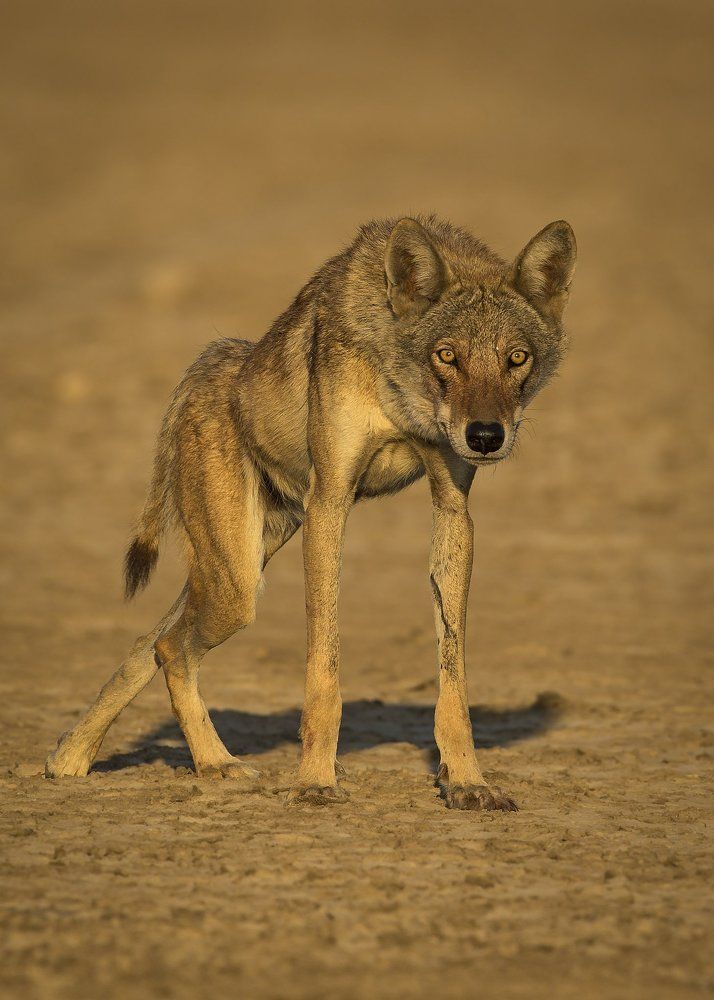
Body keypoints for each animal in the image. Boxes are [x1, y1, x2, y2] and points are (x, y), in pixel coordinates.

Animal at [45, 215, 576, 810]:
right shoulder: (330, 502)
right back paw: (214, 764)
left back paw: (70, 759)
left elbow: (453, 681)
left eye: (516, 358)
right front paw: (316, 781)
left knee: (149, 643)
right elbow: (324, 670)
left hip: (241, 569)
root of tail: (207, 368)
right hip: (237, 587)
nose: (486, 436)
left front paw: (466, 782)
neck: (396, 381)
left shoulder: (451, 507)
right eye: (447, 355)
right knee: (169, 647)